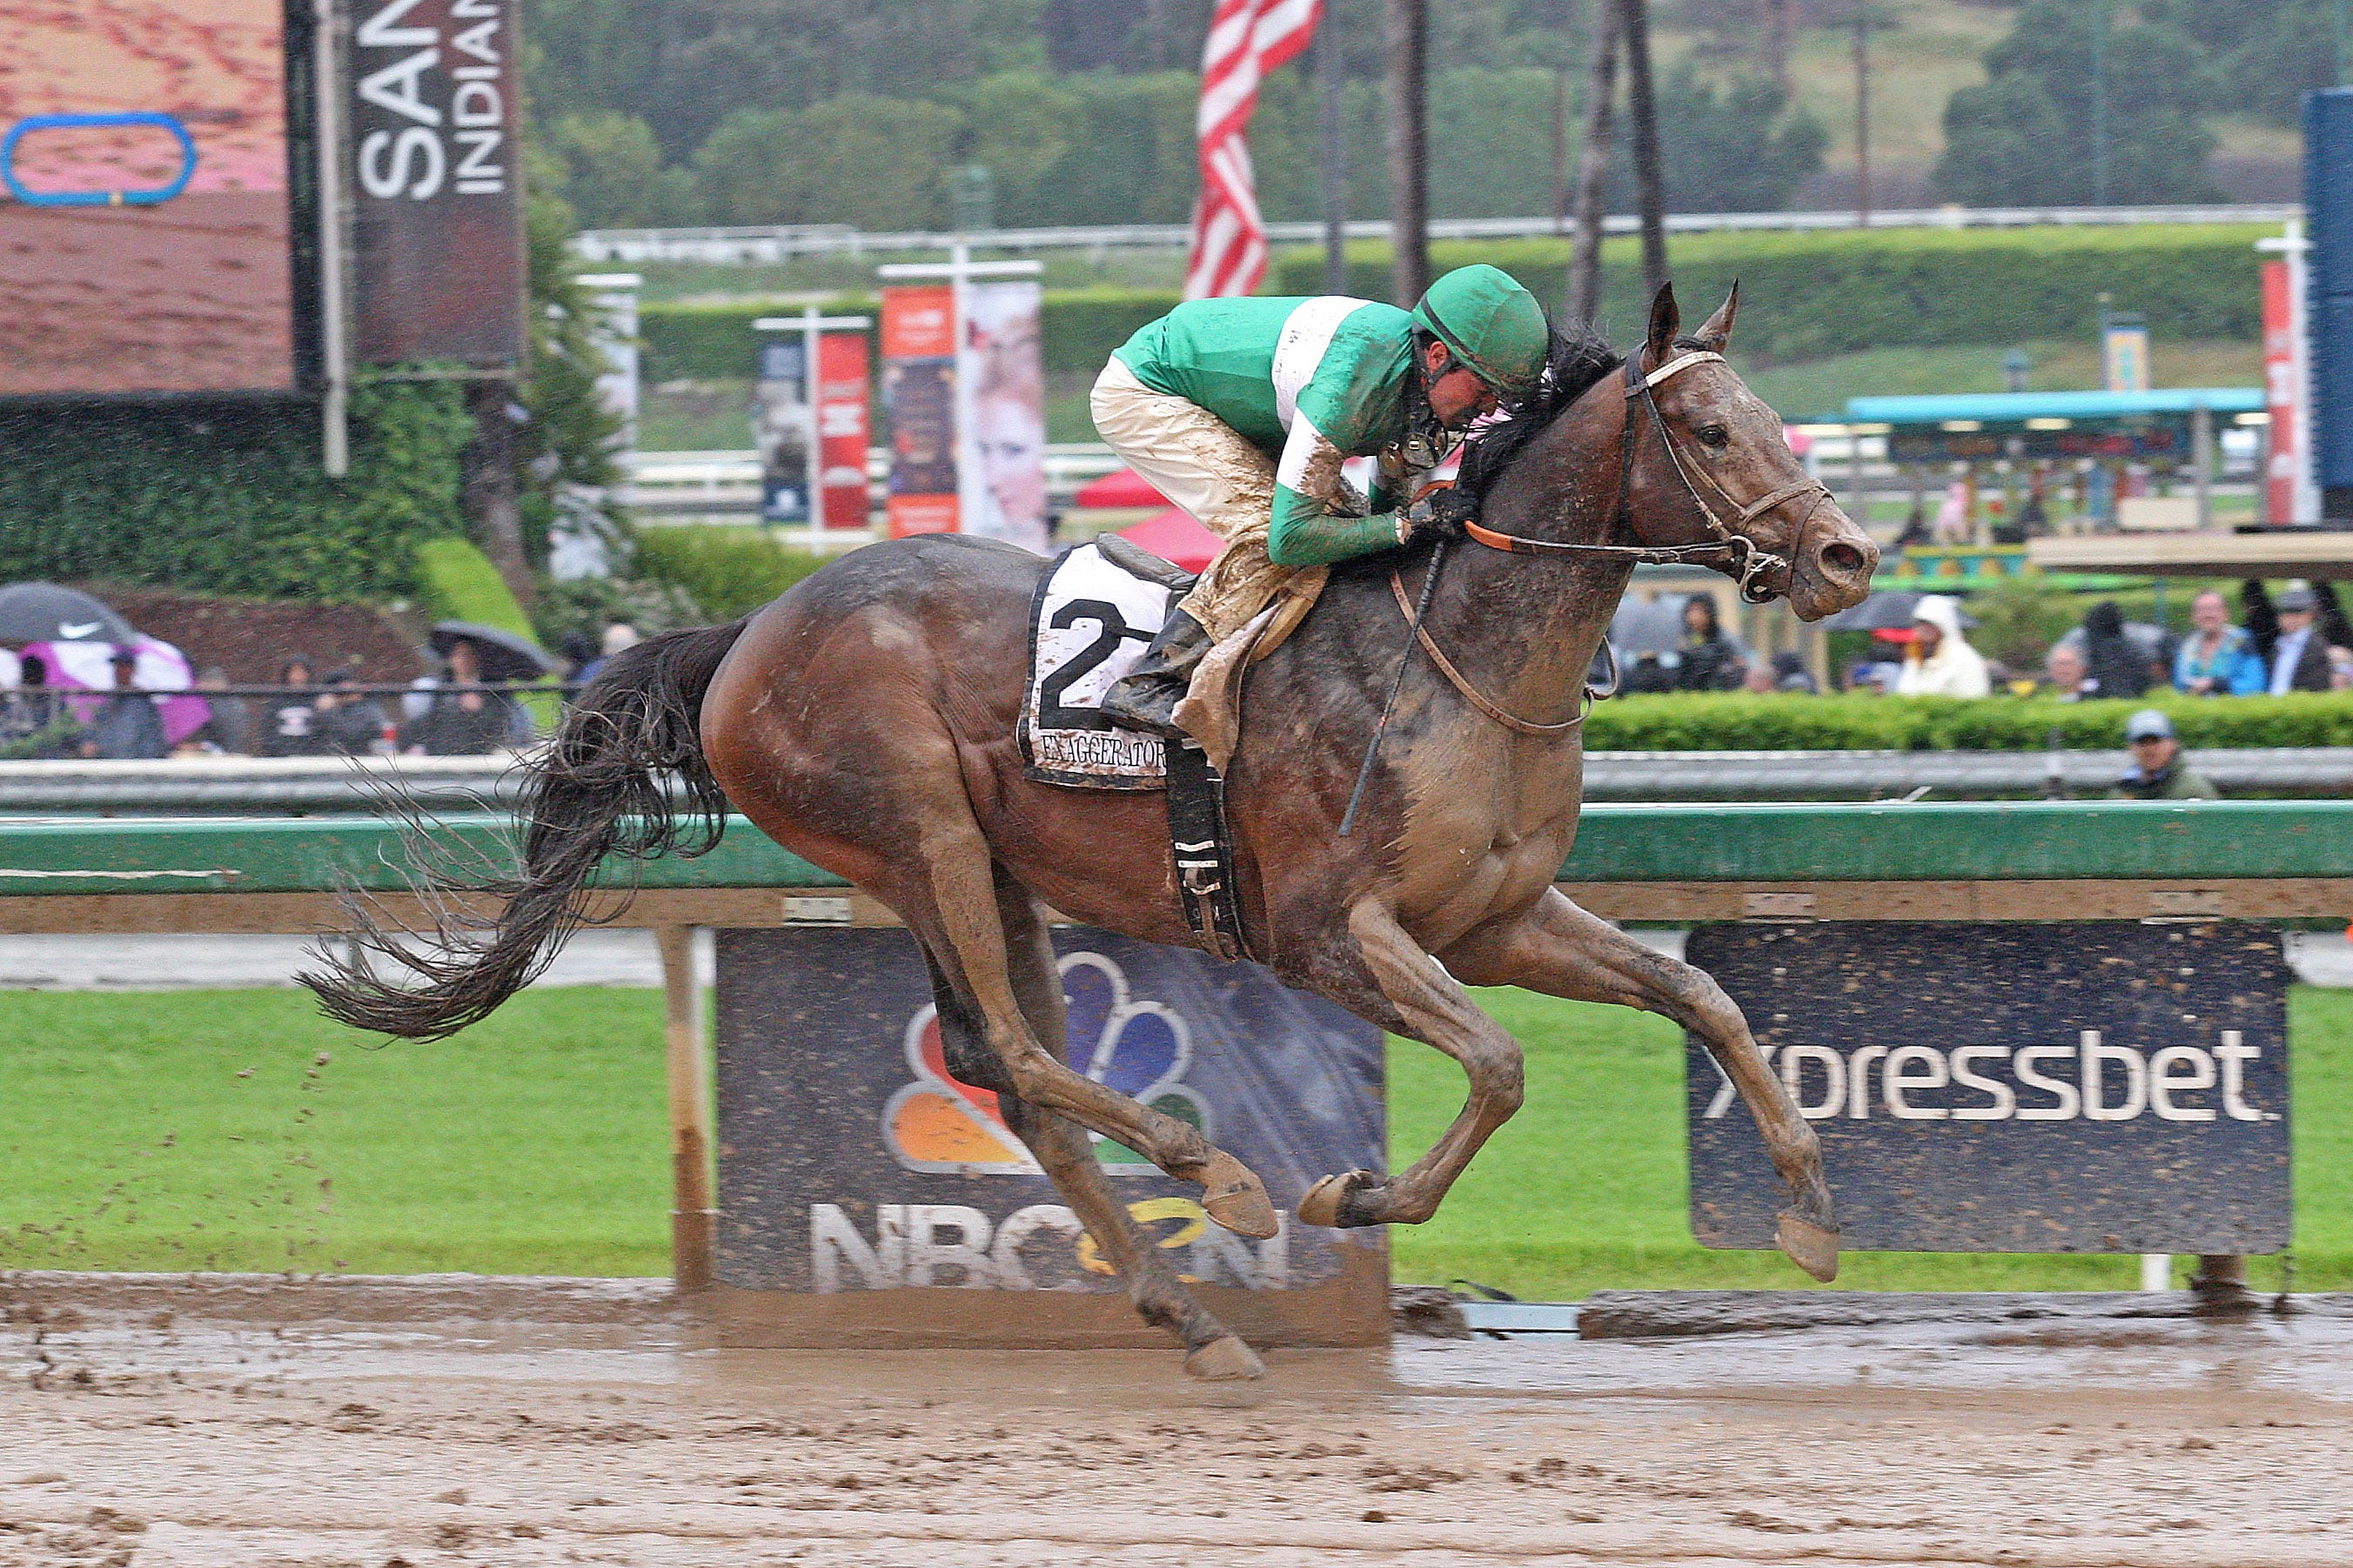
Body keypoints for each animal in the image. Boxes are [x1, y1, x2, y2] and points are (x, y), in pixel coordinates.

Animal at [308, 281, 1873, 1365]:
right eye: (1712, 426)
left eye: (1777, 415)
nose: (1848, 554)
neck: (1457, 659)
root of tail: (747, 630)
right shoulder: (1325, 930)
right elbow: (1497, 1065)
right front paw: (1346, 1198)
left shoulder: (1490, 916)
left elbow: (1697, 994)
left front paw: (1806, 1212)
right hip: (915, 836)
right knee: (1007, 1051)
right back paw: (1221, 1183)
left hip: (993, 871)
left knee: (1013, 1077)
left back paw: (1194, 1312)